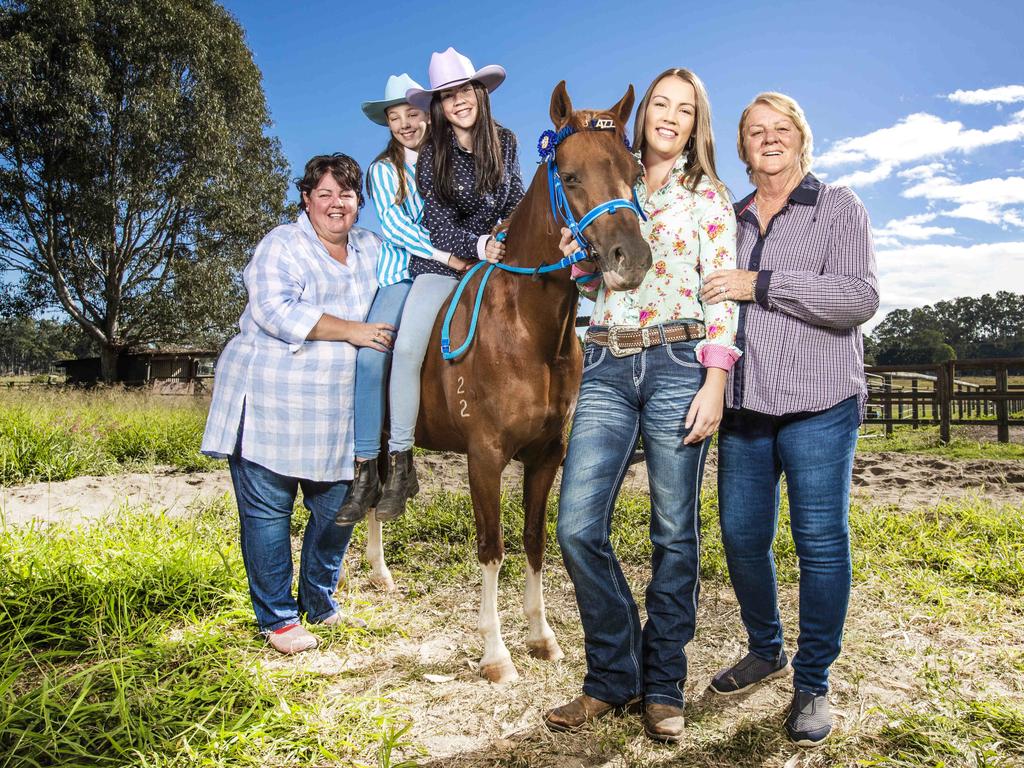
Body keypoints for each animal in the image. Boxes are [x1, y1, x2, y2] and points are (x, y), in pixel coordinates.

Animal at [364, 83, 651, 684]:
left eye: (634, 170)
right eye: (570, 175)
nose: (631, 260)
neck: (527, 329)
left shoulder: (546, 456)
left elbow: (535, 542)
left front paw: (542, 637)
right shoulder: (485, 456)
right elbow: (491, 546)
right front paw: (496, 654)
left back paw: (381, 575)